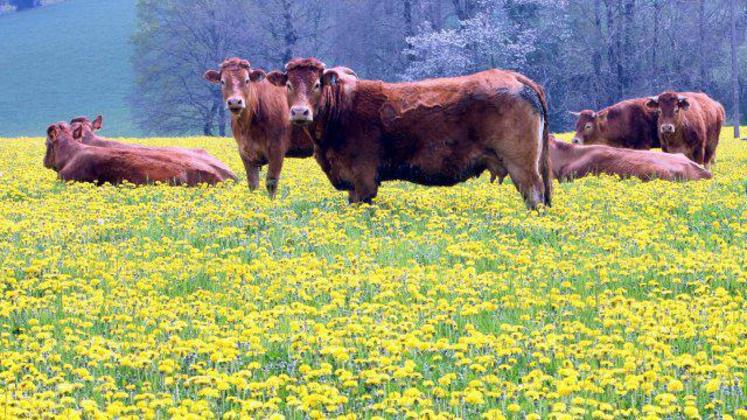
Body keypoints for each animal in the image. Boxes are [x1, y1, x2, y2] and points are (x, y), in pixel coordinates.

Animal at [203, 56, 314, 198]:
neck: (248, 127)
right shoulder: (245, 152)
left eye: (247, 80)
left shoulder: (277, 149)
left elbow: (271, 182)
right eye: (222, 81)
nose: (235, 102)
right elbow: (253, 184)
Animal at [266, 58, 552, 209]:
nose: (300, 112)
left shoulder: (363, 179)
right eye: (289, 84)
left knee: (534, 194)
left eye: (316, 84)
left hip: (522, 166)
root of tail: (515, 78)